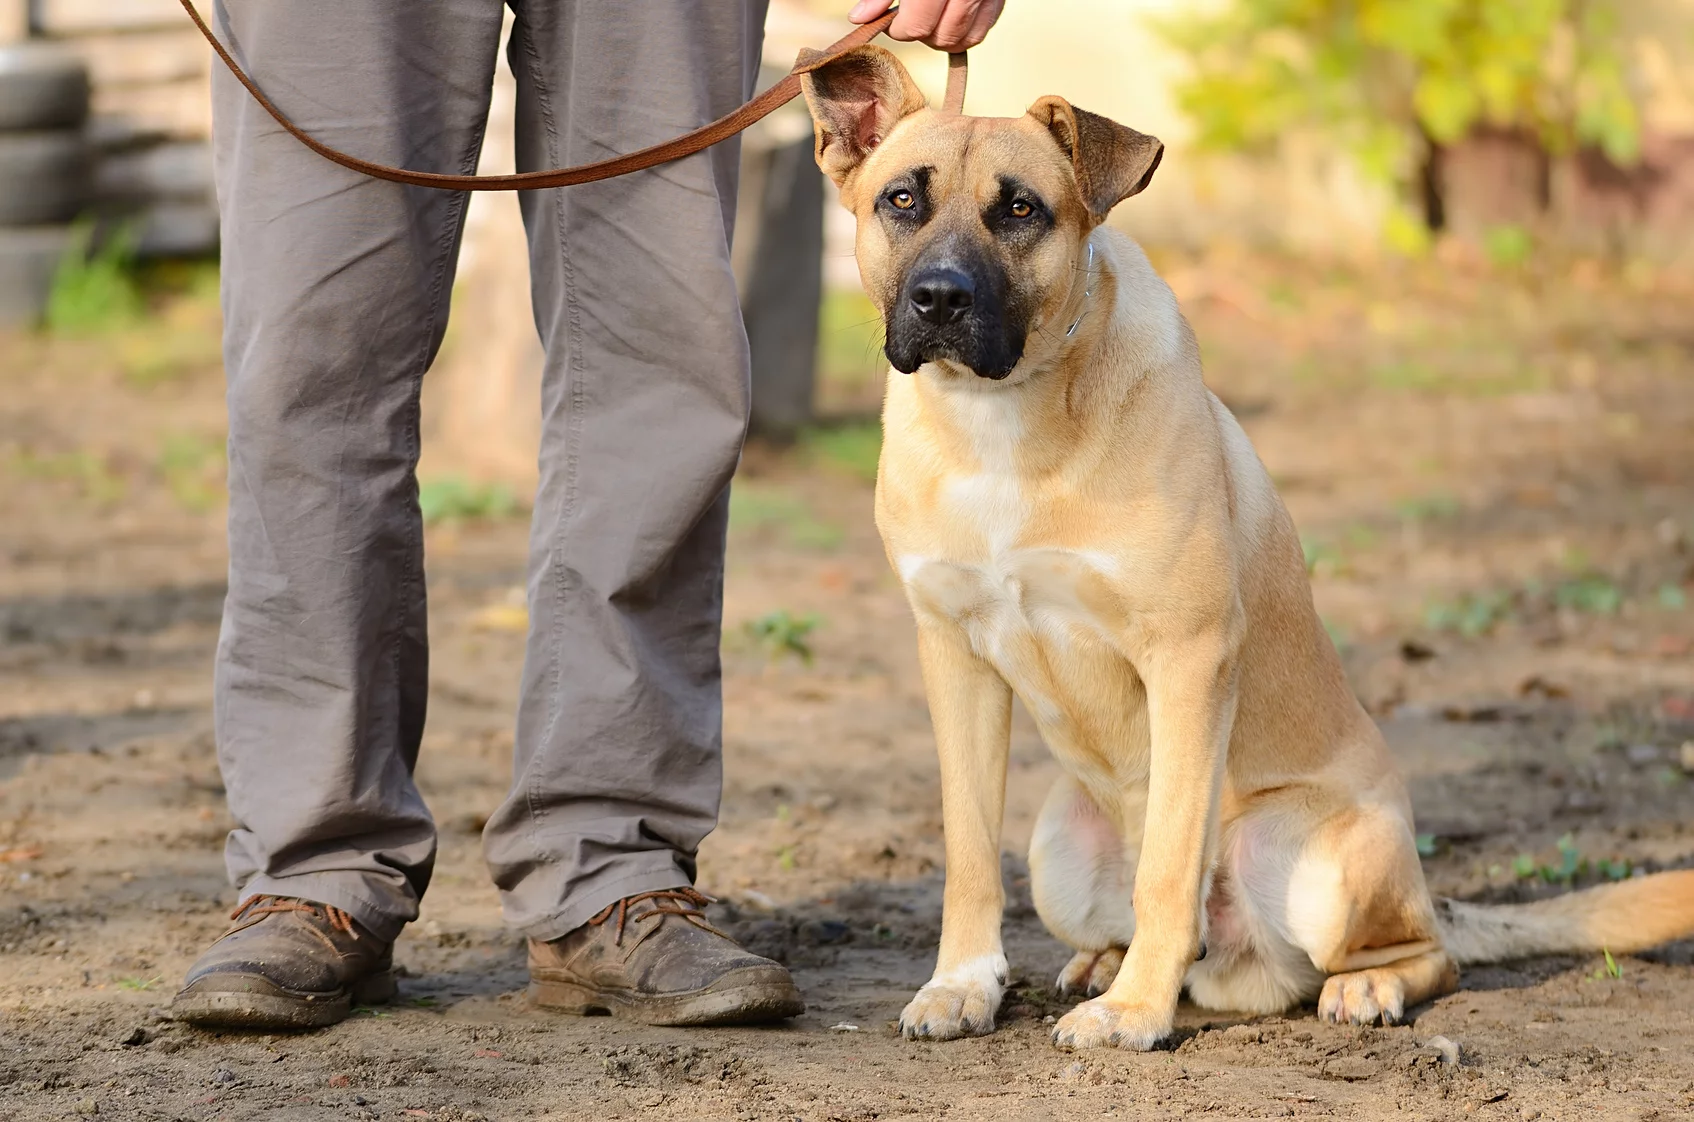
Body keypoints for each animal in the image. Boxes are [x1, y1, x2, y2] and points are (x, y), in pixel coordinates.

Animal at [799, 39, 1694, 1050]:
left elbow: (1168, 868)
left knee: (1421, 951)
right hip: (1060, 843)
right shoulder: (955, 656)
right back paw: (1105, 964)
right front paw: (963, 984)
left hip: (1312, 861)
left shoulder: (1188, 657)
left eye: (1020, 209)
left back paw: (1351, 986)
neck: (1005, 420)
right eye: (900, 200)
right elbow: (967, 854)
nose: (939, 298)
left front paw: (1136, 1014)